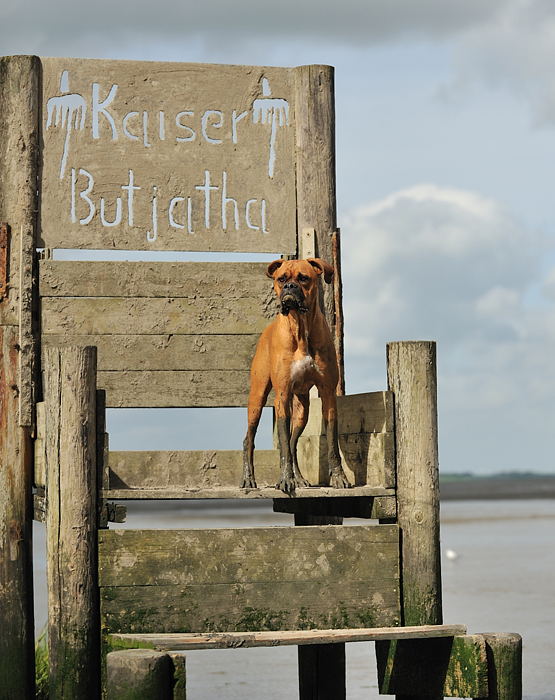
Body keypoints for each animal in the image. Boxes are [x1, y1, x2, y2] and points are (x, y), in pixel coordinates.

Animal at [240, 258, 352, 492]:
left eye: (303, 278)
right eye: (281, 279)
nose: (289, 287)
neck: (301, 327)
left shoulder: (328, 394)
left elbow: (331, 442)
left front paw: (339, 477)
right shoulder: (282, 395)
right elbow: (282, 440)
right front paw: (285, 479)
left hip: (302, 410)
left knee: (292, 442)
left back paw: (299, 478)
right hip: (257, 399)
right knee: (249, 439)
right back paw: (248, 479)